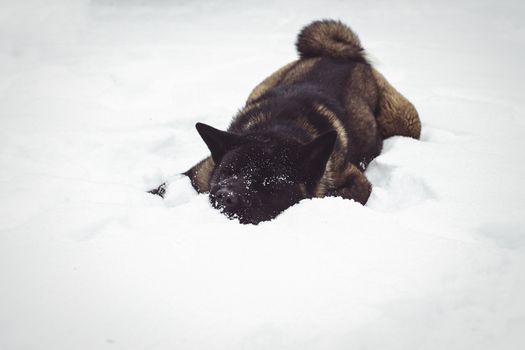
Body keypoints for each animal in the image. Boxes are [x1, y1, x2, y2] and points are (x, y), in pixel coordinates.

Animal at [149, 19, 420, 224]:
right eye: (226, 172)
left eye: (267, 181)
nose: (225, 196)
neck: (276, 129)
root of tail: (340, 56)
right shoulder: (199, 174)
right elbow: (161, 188)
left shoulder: (357, 181)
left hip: (405, 120)